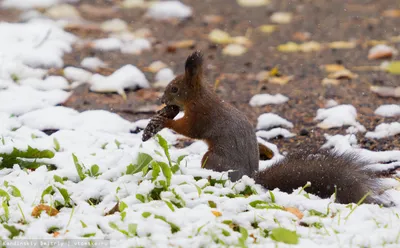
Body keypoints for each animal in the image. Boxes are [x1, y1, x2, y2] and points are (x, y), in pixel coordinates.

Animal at [142, 50, 396, 205]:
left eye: (174, 88)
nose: (162, 100)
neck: (199, 97)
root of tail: (250, 178)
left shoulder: (202, 115)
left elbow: (191, 130)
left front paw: (164, 121)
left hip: (213, 158)